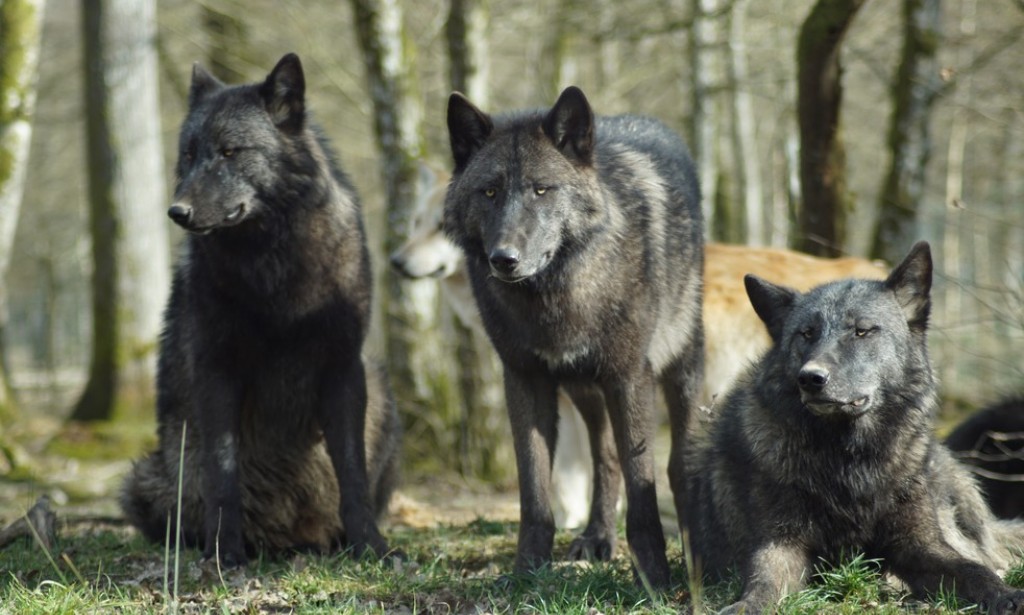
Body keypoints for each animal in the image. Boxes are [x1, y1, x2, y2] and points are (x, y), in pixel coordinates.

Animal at [120, 53, 400, 567]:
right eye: (188, 154)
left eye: (230, 151)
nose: (177, 212)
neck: (273, 265)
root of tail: (287, 539)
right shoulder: (217, 371)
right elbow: (223, 473)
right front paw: (225, 552)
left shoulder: (343, 368)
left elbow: (352, 475)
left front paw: (371, 546)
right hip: (145, 480)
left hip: (382, 391)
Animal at [444, 86, 704, 587]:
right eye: (490, 191)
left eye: (542, 189)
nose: (504, 258)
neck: (555, 297)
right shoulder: (524, 380)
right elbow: (534, 489)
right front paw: (527, 571)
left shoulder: (629, 378)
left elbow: (643, 483)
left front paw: (653, 577)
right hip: (585, 390)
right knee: (604, 458)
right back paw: (597, 536)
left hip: (680, 369)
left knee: (677, 461)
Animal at [685, 242, 1024, 614]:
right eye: (806, 334)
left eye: (861, 331)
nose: (810, 378)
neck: (849, 459)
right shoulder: (781, 544)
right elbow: (764, 583)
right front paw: (746, 605)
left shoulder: (920, 545)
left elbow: (973, 570)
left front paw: (1006, 594)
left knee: (986, 552)